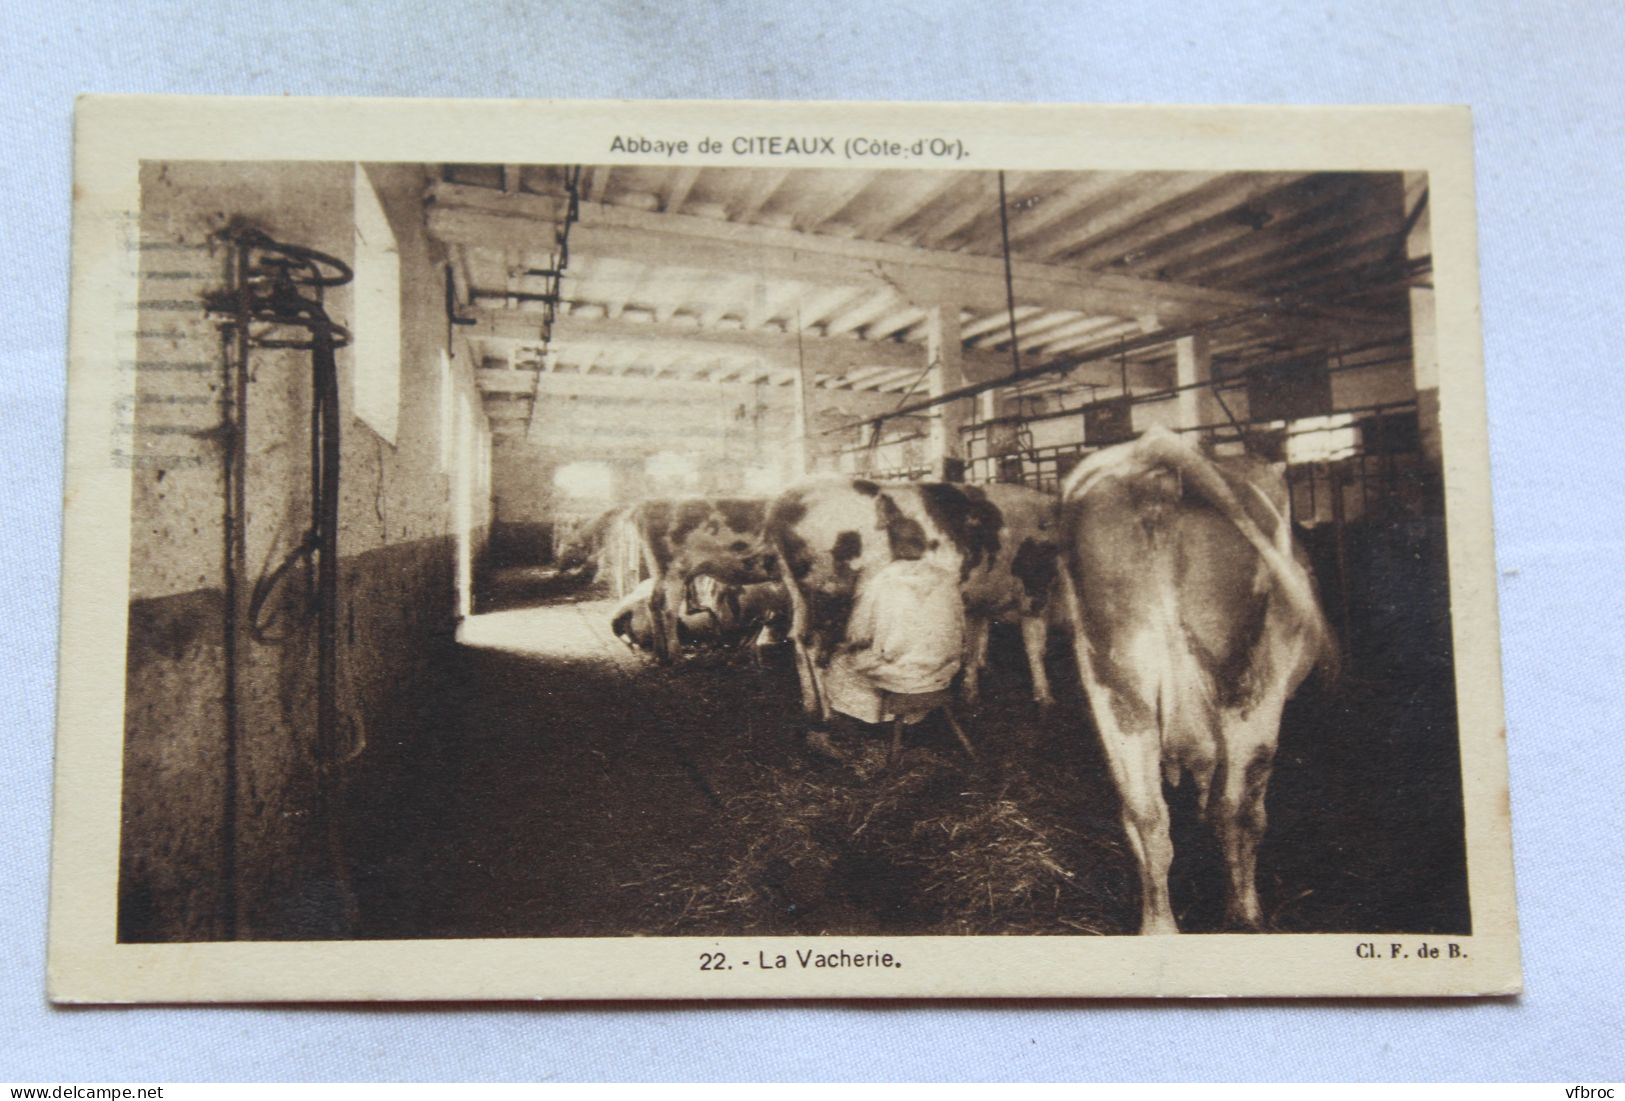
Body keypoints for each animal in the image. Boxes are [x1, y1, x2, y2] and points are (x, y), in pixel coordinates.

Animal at [763, 477, 1066, 724]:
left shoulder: (979, 598)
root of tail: (786, 499)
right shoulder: (1036, 589)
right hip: (827, 590)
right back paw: (829, 715)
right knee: (814, 644)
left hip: (798, 593)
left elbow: (973, 645)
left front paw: (970, 694)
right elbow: (1035, 648)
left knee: (798, 639)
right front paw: (1046, 700)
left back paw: (810, 706)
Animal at [1053, 425, 1332, 935]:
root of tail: (1153, 469)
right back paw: (1244, 915)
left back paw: (1159, 926)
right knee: (1240, 811)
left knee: (1145, 815)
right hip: (1250, 689)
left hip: (1117, 685)